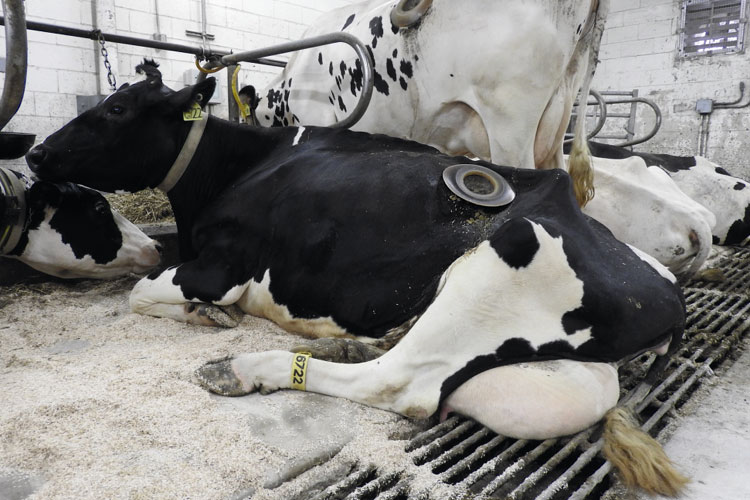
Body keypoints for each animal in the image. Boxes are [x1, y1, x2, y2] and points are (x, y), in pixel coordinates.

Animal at [26, 62, 692, 496]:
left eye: (115, 108)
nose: (34, 153)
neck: (234, 170)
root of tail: (669, 297)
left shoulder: (221, 265)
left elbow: (144, 293)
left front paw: (209, 316)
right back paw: (345, 343)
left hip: (496, 266)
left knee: (399, 383)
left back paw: (243, 368)